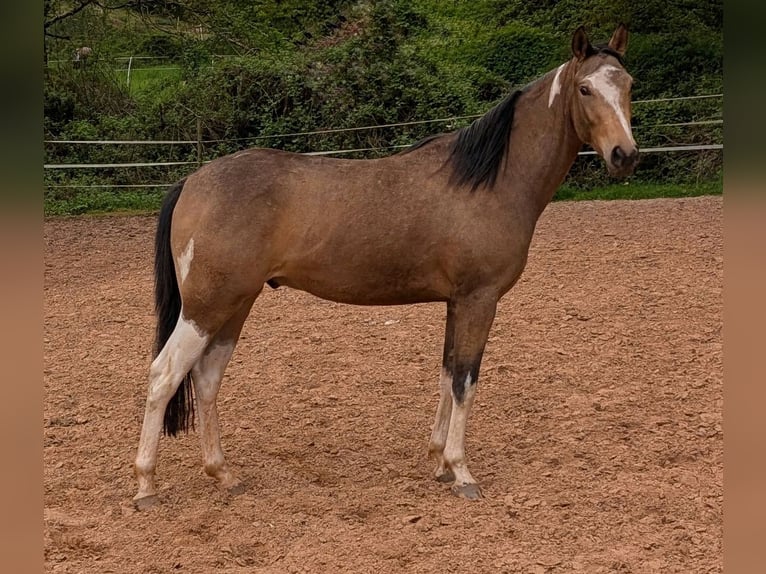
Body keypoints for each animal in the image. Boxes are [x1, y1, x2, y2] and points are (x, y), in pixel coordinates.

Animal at [133, 24, 638, 509]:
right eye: (586, 89)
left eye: (629, 84)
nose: (625, 155)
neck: (490, 181)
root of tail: (193, 180)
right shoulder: (479, 299)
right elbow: (466, 382)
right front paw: (463, 473)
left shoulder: (456, 303)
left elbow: (447, 375)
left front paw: (439, 463)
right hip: (207, 307)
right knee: (164, 375)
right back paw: (146, 487)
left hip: (235, 304)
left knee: (206, 377)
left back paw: (224, 475)